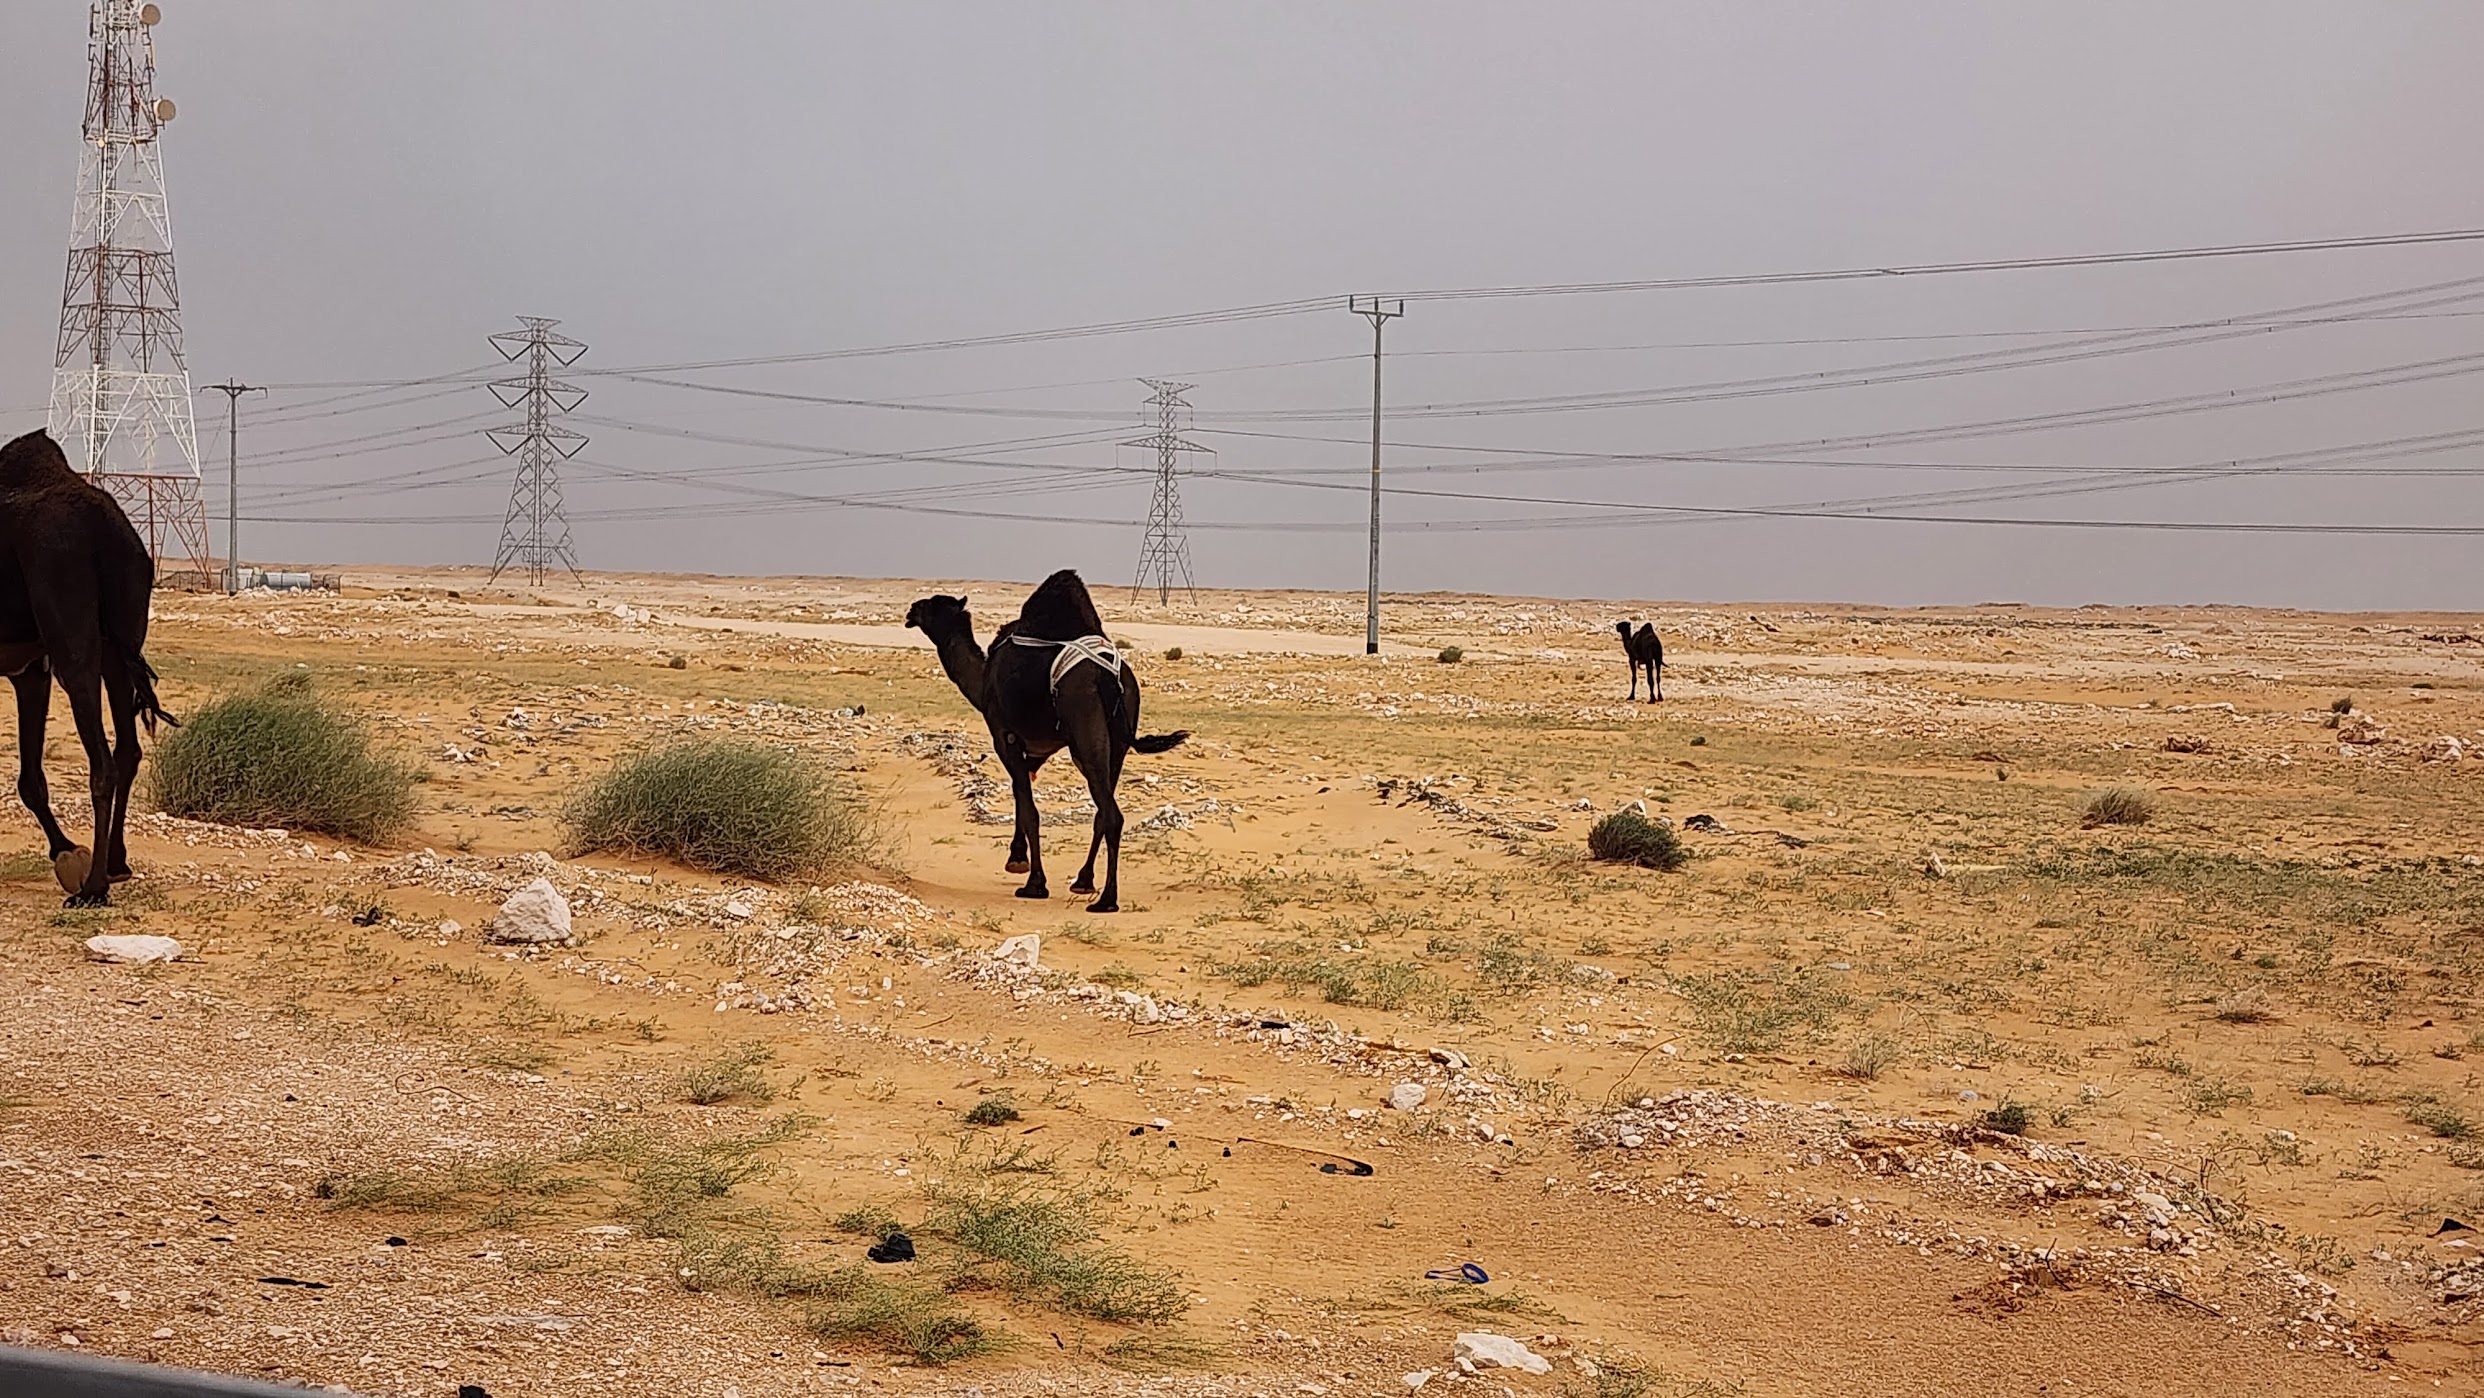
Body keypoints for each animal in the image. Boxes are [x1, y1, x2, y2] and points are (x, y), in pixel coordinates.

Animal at [0, 430, 177, 906]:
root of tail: (106, 531)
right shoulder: (28, 670)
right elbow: (30, 779)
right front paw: (64, 851)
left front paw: (68, 855)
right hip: (121, 639)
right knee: (128, 750)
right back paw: (115, 863)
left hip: (70, 625)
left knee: (104, 763)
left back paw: (94, 887)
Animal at [906, 570, 1187, 912]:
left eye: (932, 605)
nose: (911, 609)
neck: (984, 678)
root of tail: (1108, 677)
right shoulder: (1037, 749)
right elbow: (1021, 793)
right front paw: (1017, 858)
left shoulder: (1004, 736)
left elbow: (1029, 808)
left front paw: (1033, 882)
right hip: (1117, 740)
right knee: (1103, 810)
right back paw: (1083, 881)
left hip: (1084, 724)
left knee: (1112, 814)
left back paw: (1107, 899)